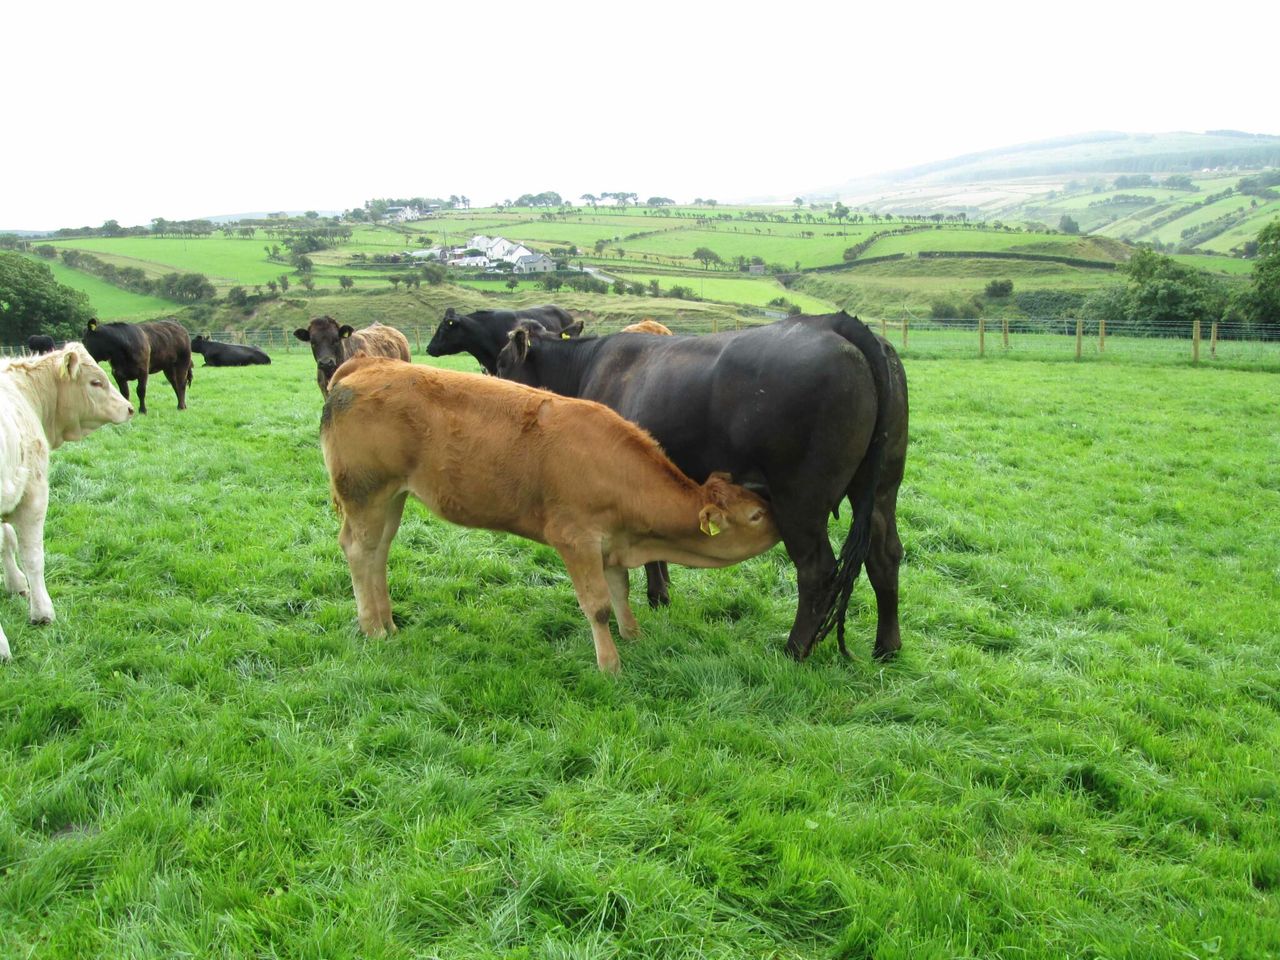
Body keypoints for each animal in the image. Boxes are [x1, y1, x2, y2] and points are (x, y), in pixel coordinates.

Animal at [1, 344, 133, 659]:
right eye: (96, 382)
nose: (129, 408)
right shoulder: (33, 494)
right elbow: (33, 557)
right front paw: (42, 613)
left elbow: (6, 541)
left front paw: (15, 584)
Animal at [320, 357, 779, 673]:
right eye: (757, 514)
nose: (783, 527)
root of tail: (369, 363)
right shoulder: (575, 539)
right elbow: (597, 604)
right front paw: (610, 664)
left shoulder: (612, 542)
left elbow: (621, 591)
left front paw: (633, 635)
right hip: (365, 492)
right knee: (358, 551)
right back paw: (373, 628)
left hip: (391, 496)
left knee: (379, 552)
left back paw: (388, 622)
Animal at [496, 311, 909, 663]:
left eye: (501, 364)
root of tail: (835, 322)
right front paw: (662, 593)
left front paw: (656, 595)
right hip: (883, 486)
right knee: (885, 554)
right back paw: (886, 648)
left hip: (799, 497)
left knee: (817, 569)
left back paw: (794, 650)